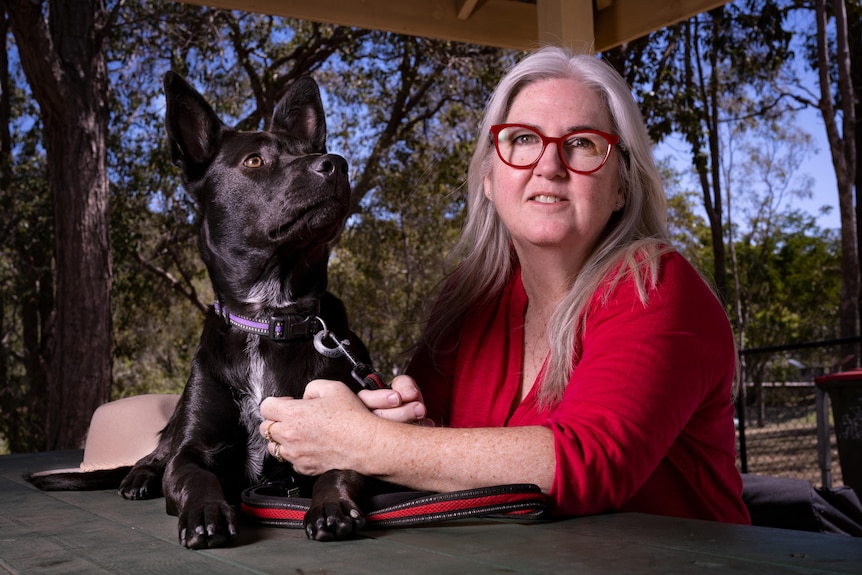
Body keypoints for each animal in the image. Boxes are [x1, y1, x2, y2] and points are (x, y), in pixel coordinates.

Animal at [28, 72, 384, 548]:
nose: (336, 164)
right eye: (255, 161)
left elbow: (339, 469)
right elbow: (194, 477)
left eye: (309, 151)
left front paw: (331, 505)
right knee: (156, 453)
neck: (267, 317)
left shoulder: (339, 429)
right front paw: (206, 513)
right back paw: (139, 477)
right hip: (178, 416)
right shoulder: (192, 451)